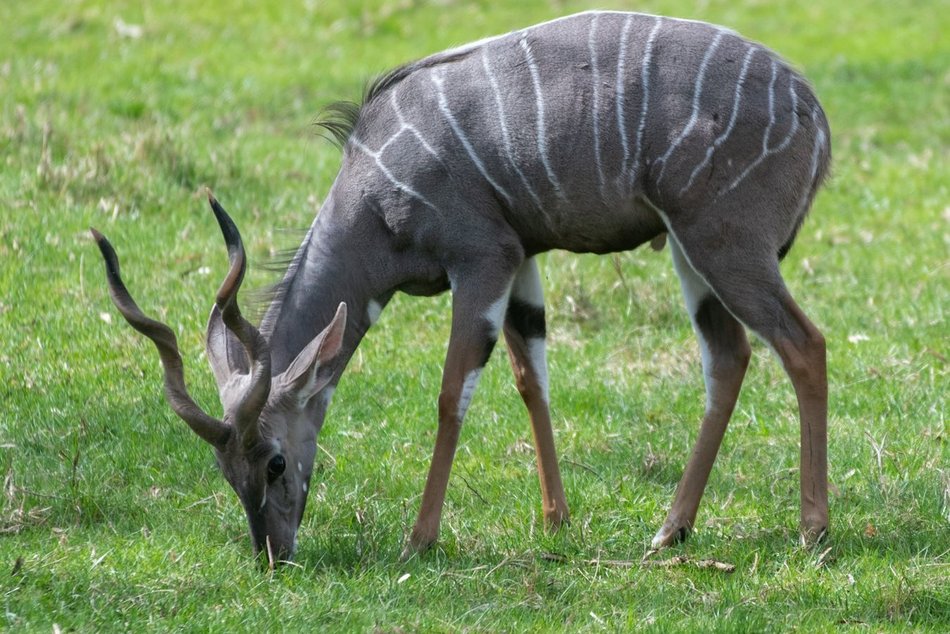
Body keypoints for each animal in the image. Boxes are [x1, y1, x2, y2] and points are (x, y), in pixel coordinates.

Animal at [93, 11, 828, 564]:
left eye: (274, 462)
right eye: (226, 472)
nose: (273, 553)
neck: (373, 189)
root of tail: (813, 114)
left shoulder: (481, 260)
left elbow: (452, 395)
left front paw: (419, 538)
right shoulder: (520, 257)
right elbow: (532, 380)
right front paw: (556, 519)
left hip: (726, 246)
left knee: (804, 344)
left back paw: (813, 529)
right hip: (688, 251)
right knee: (729, 356)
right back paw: (672, 529)